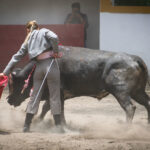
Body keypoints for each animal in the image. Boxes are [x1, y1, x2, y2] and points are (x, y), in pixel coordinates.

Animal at [6, 46, 150, 123]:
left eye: (16, 83)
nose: (8, 99)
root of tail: (134, 58)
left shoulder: (57, 92)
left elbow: (54, 108)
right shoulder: (58, 95)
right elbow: (49, 108)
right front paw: (41, 121)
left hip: (120, 92)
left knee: (130, 108)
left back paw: (126, 129)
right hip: (137, 91)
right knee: (147, 103)